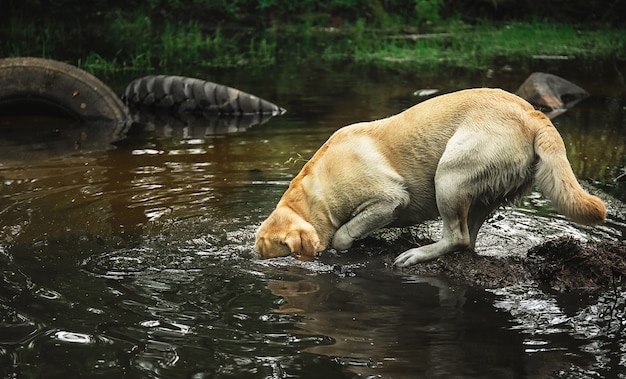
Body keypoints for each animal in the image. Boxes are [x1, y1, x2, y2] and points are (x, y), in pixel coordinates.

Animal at [255, 88, 604, 268]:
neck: (313, 196)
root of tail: (533, 114)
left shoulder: (390, 198)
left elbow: (343, 233)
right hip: (482, 190)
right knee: (467, 240)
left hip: (450, 174)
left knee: (457, 237)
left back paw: (414, 255)